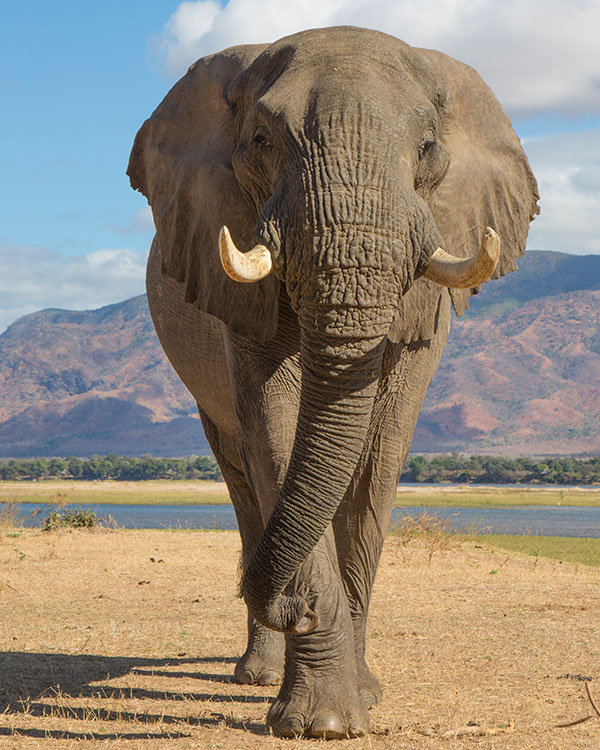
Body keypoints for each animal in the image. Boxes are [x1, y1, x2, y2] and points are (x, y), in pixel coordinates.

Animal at [127, 25, 540, 740]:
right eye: (260, 140)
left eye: (428, 147)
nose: (298, 608)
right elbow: (276, 427)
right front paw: (321, 720)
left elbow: (379, 452)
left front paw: (363, 698)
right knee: (242, 478)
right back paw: (257, 673)